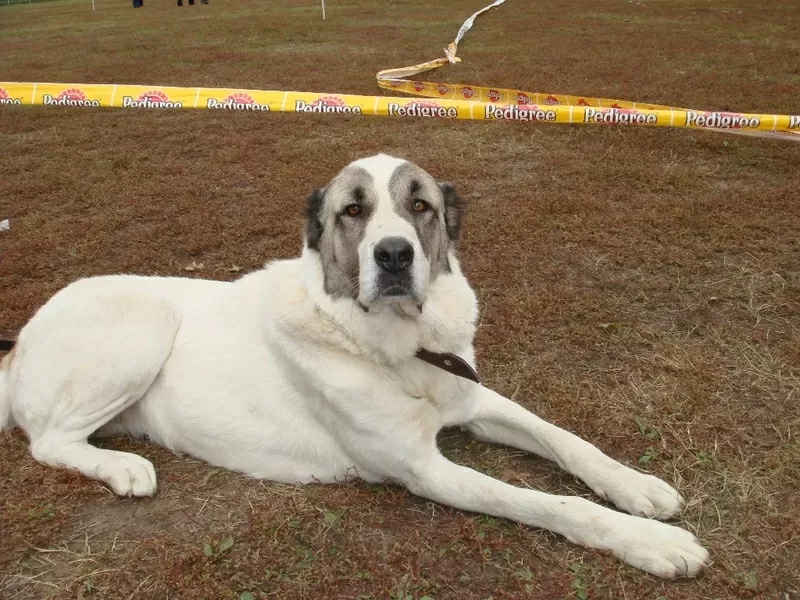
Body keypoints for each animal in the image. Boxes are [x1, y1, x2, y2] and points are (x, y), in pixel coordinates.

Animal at [0, 154, 708, 576]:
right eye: (353, 211)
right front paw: (653, 544)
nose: (394, 255)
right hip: (146, 322)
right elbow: (547, 502)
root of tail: (20, 342)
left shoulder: (473, 399)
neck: (397, 345)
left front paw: (637, 487)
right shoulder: (423, 469)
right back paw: (123, 468)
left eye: (419, 206)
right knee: (49, 442)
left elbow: (565, 440)